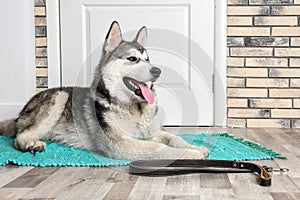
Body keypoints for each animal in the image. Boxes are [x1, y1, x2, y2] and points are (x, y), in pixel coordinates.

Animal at [0, 21, 210, 160]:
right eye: (132, 59)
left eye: (148, 59)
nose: (157, 71)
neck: (133, 108)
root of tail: (21, 113)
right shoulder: (120, 143)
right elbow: (158, 147)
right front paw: (190, 153)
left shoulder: (149, 132)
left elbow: (173, 137)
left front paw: (193, 146)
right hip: (59, 97)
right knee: (20, 136)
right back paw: (31, 143)